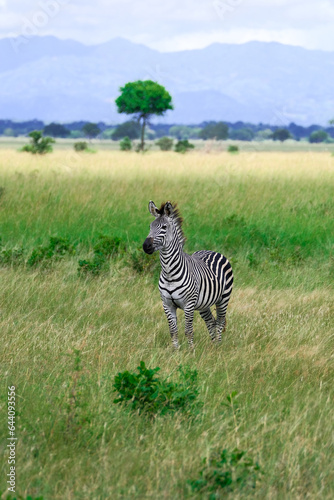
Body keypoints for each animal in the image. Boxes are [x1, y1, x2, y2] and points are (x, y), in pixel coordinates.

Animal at [142, 200, 234, 348]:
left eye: (164, 227)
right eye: (150, 226)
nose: (146, 246)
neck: (169, 273)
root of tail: (211, 251)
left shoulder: (188, 304)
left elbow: (188, 331)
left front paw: (191, 351)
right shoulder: (167, 304)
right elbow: (173, 331)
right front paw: (175, 351)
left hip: (224, 298)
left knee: (220, 321)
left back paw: (218, 346)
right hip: (204, 303)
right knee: (210, 321)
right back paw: (213, 346)